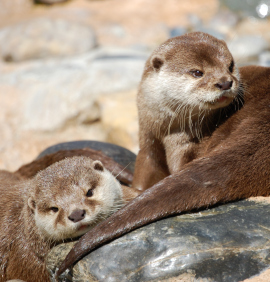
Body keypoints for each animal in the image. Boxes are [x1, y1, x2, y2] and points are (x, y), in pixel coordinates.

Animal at [55, 33, 270, 278]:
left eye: (230, 65)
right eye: (197, 72)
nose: (225, 82)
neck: (167, 130)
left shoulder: (185, 144)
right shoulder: (147, 145)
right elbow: (144, 176)